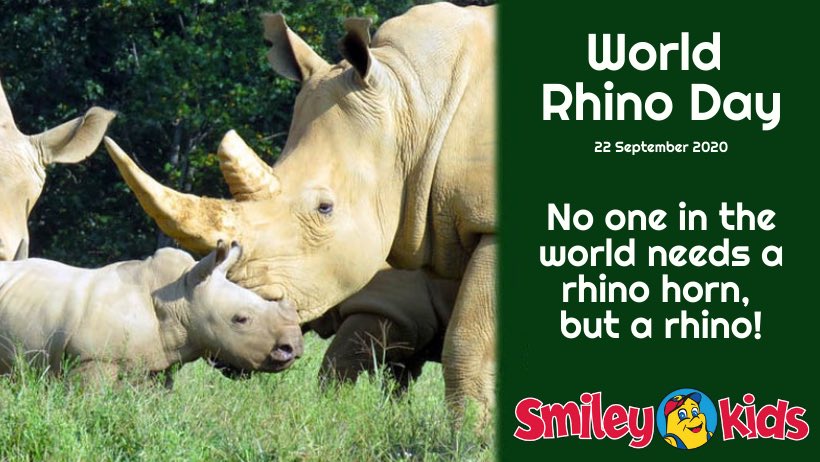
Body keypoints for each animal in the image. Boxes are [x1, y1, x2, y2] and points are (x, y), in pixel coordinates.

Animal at [104, 3, 496, 418]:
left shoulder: (393, 305)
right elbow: (388, 377)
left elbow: (463, 346)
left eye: (325, 208)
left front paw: (465, 434)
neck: (415, 105)